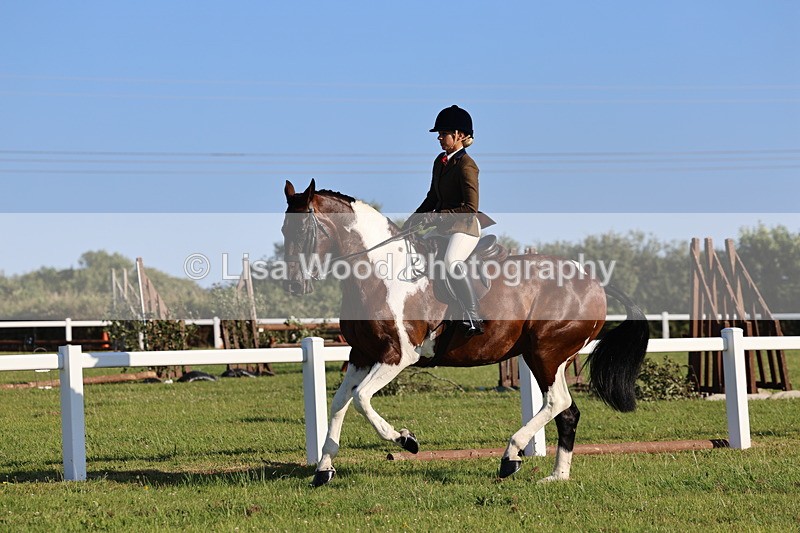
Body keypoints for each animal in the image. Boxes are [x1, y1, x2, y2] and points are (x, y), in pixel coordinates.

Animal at [282, 179, 649, 487]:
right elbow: (339, 403)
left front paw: (406, 440)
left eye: (305, 228)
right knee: (567, 411)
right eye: (285, 229)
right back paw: (556, 476)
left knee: (557, 402)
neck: (379, 274)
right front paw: (323, 470)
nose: (294, 285)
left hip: (546, 353)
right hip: (546, 357)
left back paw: (511, 457)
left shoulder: (397, 355)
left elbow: (360, 399)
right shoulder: (361, 355)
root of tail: (594, 282)